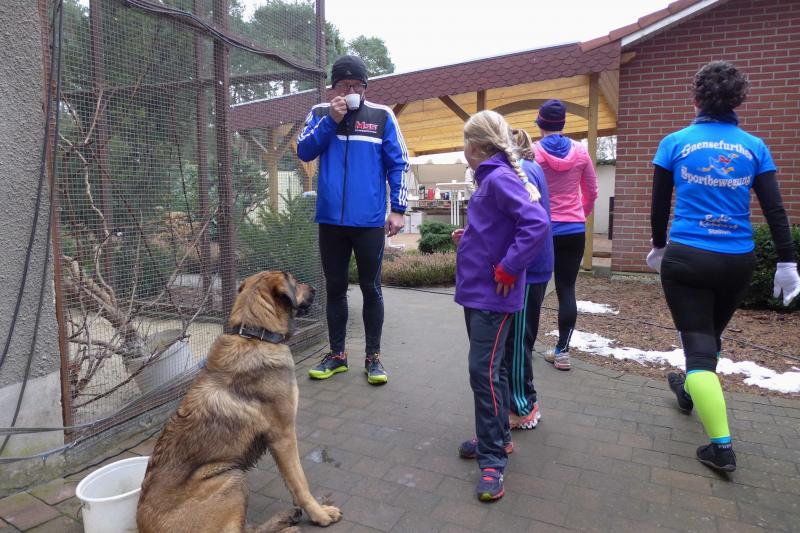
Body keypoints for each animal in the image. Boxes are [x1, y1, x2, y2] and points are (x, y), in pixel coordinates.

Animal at [137, 271, 342, 532]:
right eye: (295, 282)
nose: (315, 288)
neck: (256, 334)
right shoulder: (283, 435)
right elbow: (300, 481)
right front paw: (319, 513)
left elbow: (292, 481)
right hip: (231, 476)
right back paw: (286, 524)